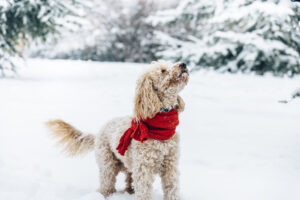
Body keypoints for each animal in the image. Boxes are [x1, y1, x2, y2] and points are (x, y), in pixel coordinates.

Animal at [46, 61, 189, 200]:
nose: (183, 64)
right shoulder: (143, 169)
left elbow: (172, 189)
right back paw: (104, 195)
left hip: (128, 165)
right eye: (163, 70)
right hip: (108, 164)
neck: (162, 125)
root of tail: (98, 133)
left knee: (128, 181)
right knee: (107, 184)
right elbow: (143, 192)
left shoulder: (170, 166)